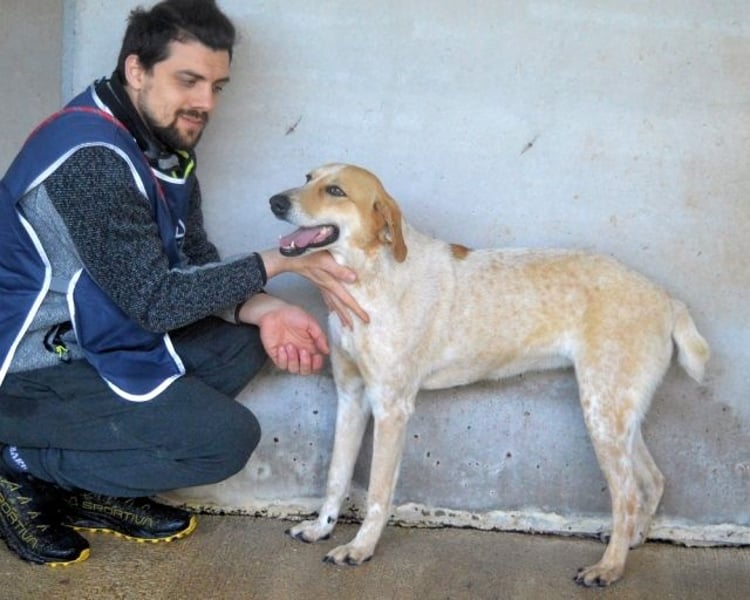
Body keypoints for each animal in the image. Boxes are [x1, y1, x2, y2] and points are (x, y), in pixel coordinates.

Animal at [269, 164, 710, 587]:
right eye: (308, 177)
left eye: (336, 190)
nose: (275, 201)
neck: (370, 274)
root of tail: (667, 298)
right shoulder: (350, 397)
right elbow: (336, 476)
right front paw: (321, 528)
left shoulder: (391, 407)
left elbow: (377, 493)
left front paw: (360, 548)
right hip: (618, 415)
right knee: (652, 480)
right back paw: (633, 539)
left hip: (602, 411)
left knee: (628, 494)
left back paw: (610, 567)